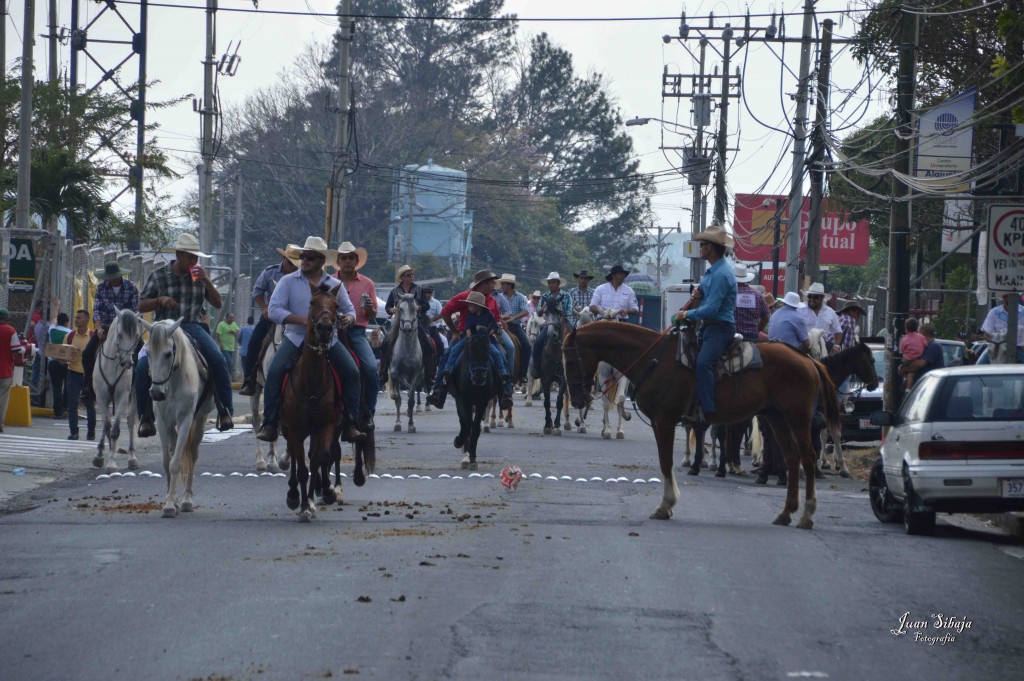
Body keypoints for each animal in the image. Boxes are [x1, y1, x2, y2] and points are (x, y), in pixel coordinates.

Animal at [91, 309, 143, 473]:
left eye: (136, 336)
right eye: (119, 334)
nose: (127, 363)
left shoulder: (122, 397)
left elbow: (115, 431)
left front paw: (112, 463)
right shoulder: (101, 397)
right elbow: (107, 426)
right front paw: (102, 457)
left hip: (134, 396)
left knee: (131, 422)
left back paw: (132, 457)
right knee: (105, 423)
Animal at [142, 317, 216, 516]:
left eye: (168, 354)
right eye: (148, 353)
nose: (156, 393)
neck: (172, 383)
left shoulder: (185, 421)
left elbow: (176, 463)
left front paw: (170, 505)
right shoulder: (162, 422)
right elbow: (167, 462)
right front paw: (170, 501)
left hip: (198, 421)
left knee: (192, 455)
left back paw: (187, 500)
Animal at [280, 280, 344, 520]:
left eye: (336, 305)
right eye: (312, 302)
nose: (325, 328)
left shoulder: (326, 425)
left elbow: (320, 458)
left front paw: (324, 493)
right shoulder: (294, 428)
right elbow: (301, 468)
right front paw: (303, 505)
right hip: (287, 428)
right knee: (294, 457)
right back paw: (293, 495)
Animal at [565, 321, 843, 528]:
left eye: (570, 360)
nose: (578, 399)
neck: (654, 359)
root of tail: (808, 360)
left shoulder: (664, 420)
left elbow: (665, 462)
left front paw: (666, 505)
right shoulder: (662, 421)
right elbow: (666, 461)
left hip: (798, 419)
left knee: (808, 459)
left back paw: (807, 515)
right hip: (777, 418)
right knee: (792, 459)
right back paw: (786, 513)